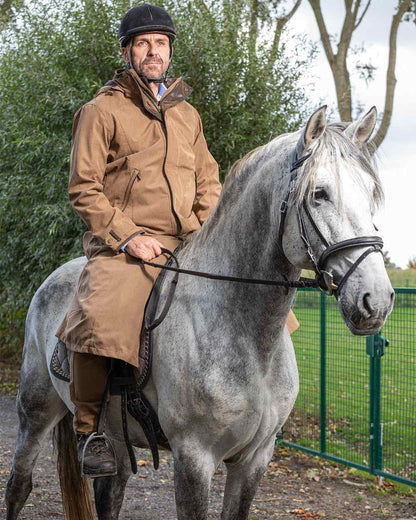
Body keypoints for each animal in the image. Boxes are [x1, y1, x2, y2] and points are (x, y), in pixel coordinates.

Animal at [5, 106, 394, 520]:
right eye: (319, 194)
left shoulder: (254, 459)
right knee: (19, 486)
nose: (377, 300)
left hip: (116, 437)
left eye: (370, 193)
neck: (246, 334)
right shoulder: (194, 458)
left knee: (109, 496)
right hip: (35, 411)